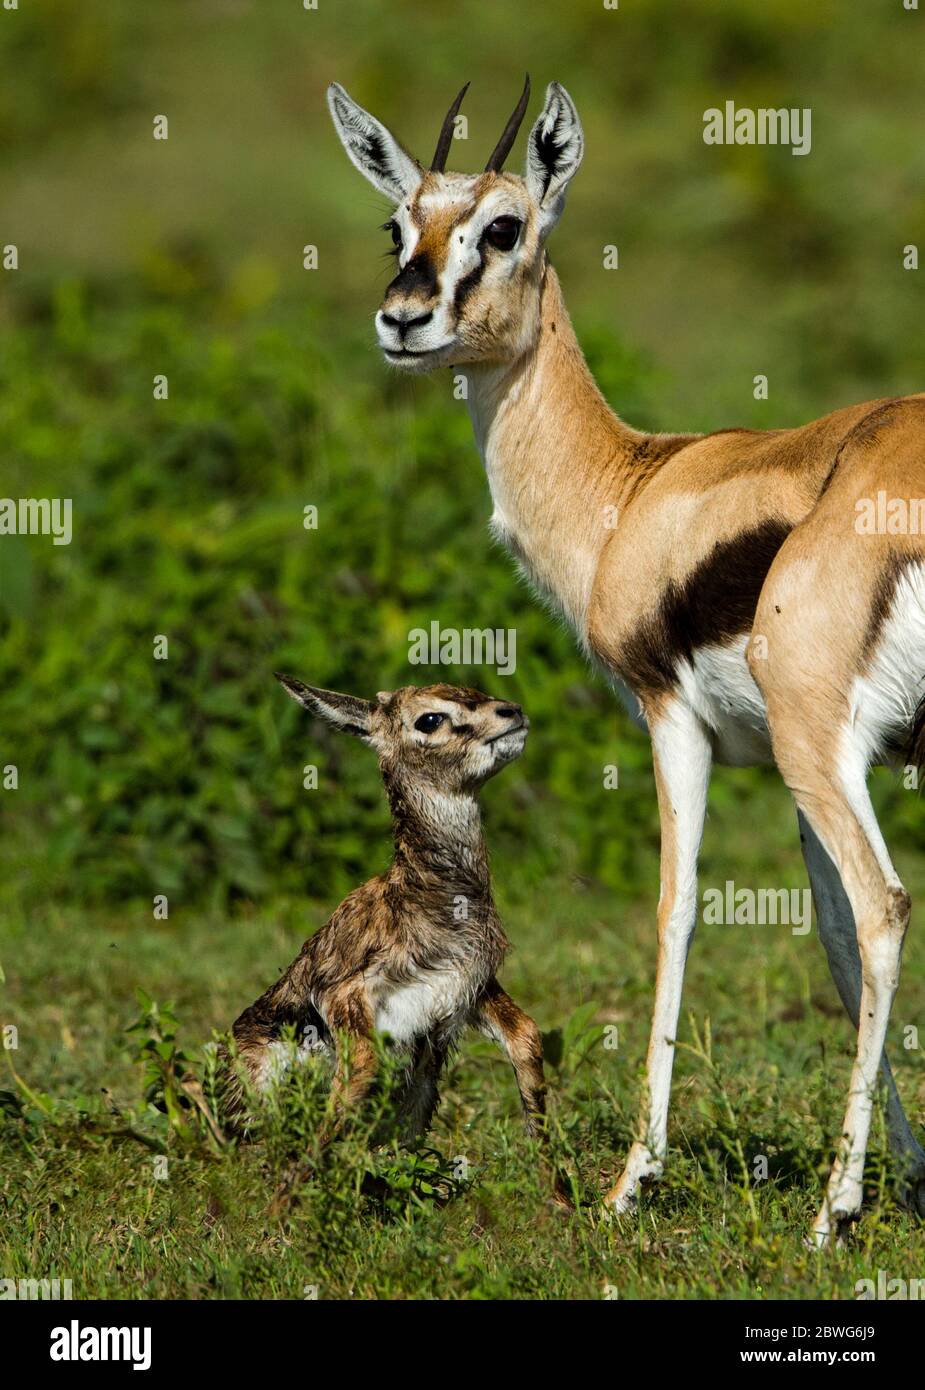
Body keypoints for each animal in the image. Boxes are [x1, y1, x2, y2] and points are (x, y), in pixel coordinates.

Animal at [230, 676, 564, 1192]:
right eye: (429, 718)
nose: (512, 712)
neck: (426, 895)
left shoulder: (468, 988)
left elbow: (527, 1036)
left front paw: (561, 1195)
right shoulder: (347, 996)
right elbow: (359, 1073)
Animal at [327, 74, 925, 1243]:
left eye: (501, 227)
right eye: (396, 225)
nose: (403, 319)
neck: (634, 490)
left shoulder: (679, 721)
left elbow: (676, 913)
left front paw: (628, 1181)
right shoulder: (794, 764)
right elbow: (830, 938)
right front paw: (913, 1175)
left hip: (814, 743)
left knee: (887, 906)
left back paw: (824, 1212)